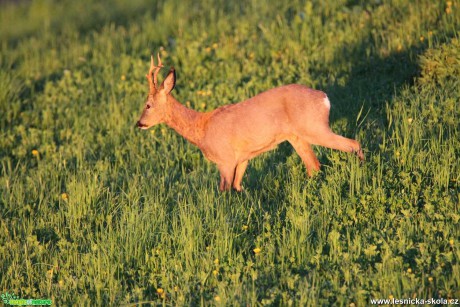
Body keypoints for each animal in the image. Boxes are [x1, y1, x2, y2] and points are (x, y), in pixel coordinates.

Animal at [135, 54, 364, 191]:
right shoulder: (242, 158)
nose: (138, 123)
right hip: (297, 137)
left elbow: (224, 191)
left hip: (314, 127)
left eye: (147, 105)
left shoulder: (225, 159)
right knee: (314, 167)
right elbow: (238, 187)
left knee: (353, 144)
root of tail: (324, 98)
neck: (201, 128)